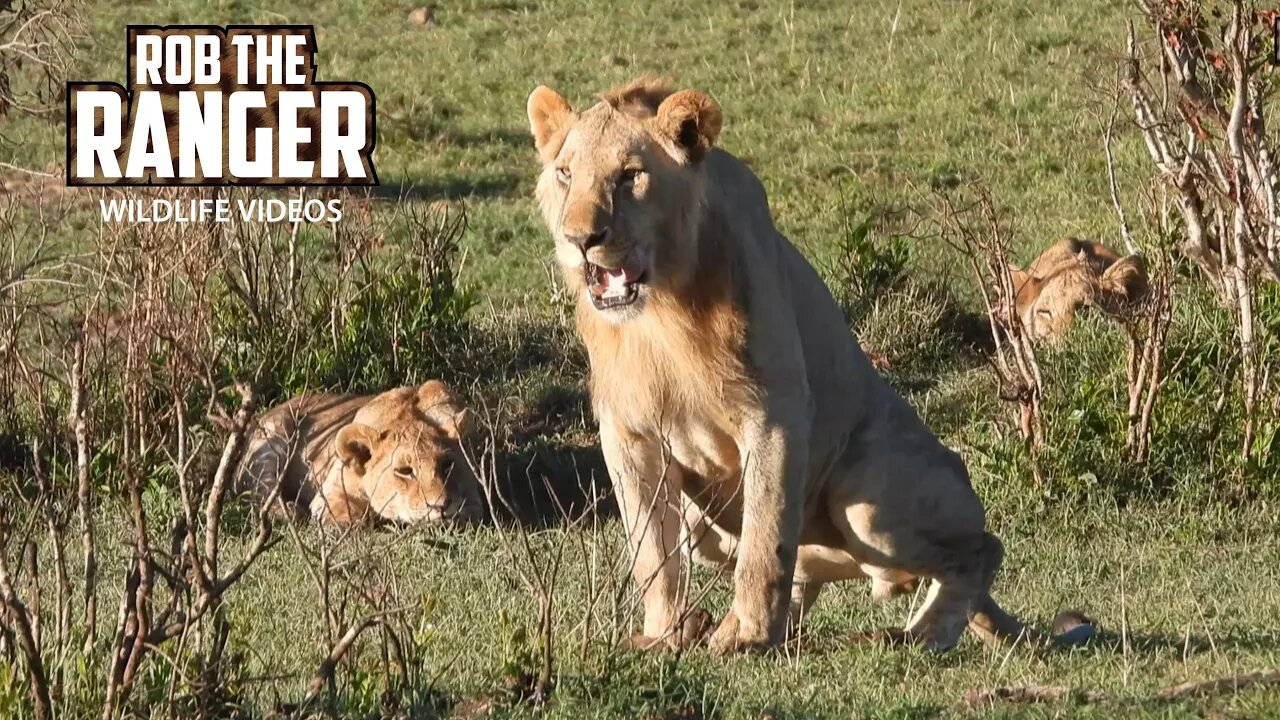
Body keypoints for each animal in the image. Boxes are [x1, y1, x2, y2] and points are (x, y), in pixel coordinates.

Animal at [238, 379, 481, 525]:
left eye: (447, 465)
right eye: (404, 471)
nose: (441, 506)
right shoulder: (331, 492)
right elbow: (352, 517)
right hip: (271, 439)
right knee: (259, 492)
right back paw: (290, 510)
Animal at [524, 77, 1095, 650]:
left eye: (630, 175)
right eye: (566, 174)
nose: (580, 240)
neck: (660, 313)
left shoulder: (775, 416)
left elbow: (766, 537)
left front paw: (746, 638)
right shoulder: (627, 433)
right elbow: (652, 555)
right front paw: (666, 636)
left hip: (865, 502)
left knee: (982, 548)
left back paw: (916, 635)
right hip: (704, 525)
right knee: (799, 569)